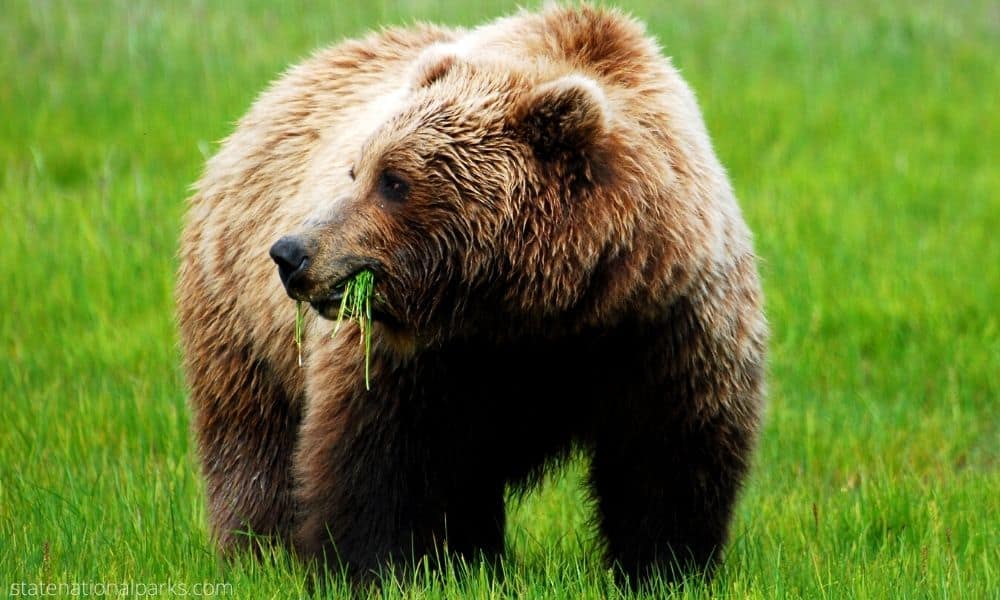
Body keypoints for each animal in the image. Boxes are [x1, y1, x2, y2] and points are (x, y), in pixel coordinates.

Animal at [176, 4, 764, 584]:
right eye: (356, 170)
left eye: (393, 181)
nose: (292, 253)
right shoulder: (417, 359)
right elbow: (379, 459)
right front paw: (376, 566)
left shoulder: (663, 327)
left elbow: (668, 459)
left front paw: (666, 568)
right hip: (241, 319)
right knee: (254, 440)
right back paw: (260, 552)